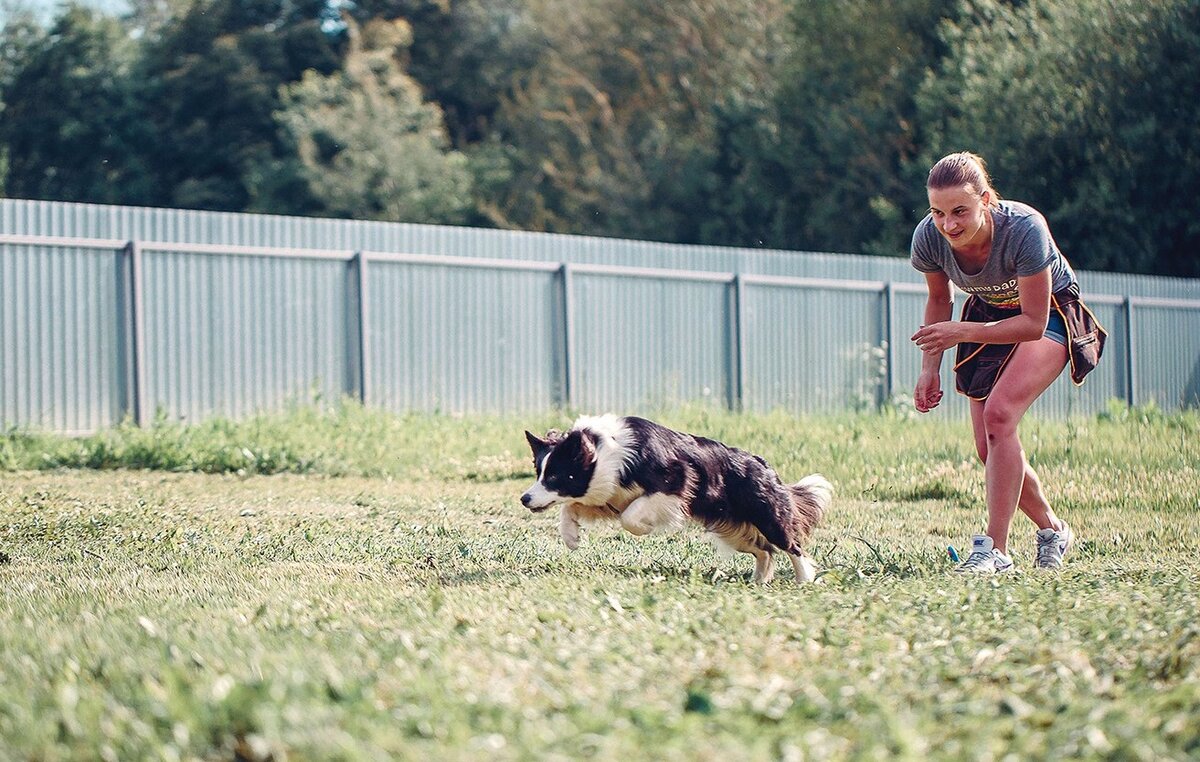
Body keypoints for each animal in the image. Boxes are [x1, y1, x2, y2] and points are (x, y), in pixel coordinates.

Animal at [520, 417, 830, 583]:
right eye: (539, 472)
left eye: (555, 476)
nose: (524, 498)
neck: (603, 449)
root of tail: (761, 463)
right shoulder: (608, 493)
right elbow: (571, 507)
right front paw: (572, 537)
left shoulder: (676, 483)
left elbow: (629, 516)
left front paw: (643, 527)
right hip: (732, 528)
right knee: (764, 550)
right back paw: (759, 581)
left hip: (765, 514)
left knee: (790, 544)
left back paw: (804, 579)